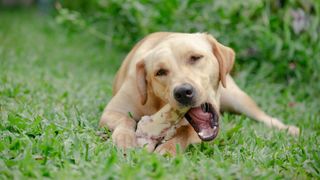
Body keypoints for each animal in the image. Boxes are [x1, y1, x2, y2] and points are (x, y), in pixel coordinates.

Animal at [99, 32, 298, 155]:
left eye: (195, 57)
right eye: (160, 72)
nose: (183, 92)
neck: (158, 104)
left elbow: (185, 132)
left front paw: (168, 149)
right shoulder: (112, 111)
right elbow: (126, 121)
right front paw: (125, 139)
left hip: (238, 98)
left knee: (264, 117)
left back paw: (290, 129)